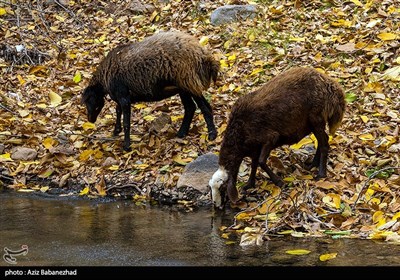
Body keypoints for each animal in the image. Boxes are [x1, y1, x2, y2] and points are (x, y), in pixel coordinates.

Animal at [81, 30, 219, 151]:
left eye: (89, 101)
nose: (90, 119)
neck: (104, 79)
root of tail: (203, 56)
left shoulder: (124, 97)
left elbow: (126, 122)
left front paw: (126, 146)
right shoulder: (122, 97)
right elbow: (117, 110)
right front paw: (116, 131)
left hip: (189, 81)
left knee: (203, 108)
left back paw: (212, 134)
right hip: (186, 86)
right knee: (192, 107)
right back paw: (182, 132)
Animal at [209, 66, 346, 209]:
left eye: (222, 188)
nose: (216, 206)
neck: (238, 136)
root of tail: (331, 86)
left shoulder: (270, 138)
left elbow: (261, 162)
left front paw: (278, 182)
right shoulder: (254, 148)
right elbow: (254, 164)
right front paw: (249, 184)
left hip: (316, 118)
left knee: (324, 143)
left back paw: (321, 174)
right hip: (314, 123)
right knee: (322, 140)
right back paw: (313, 164)